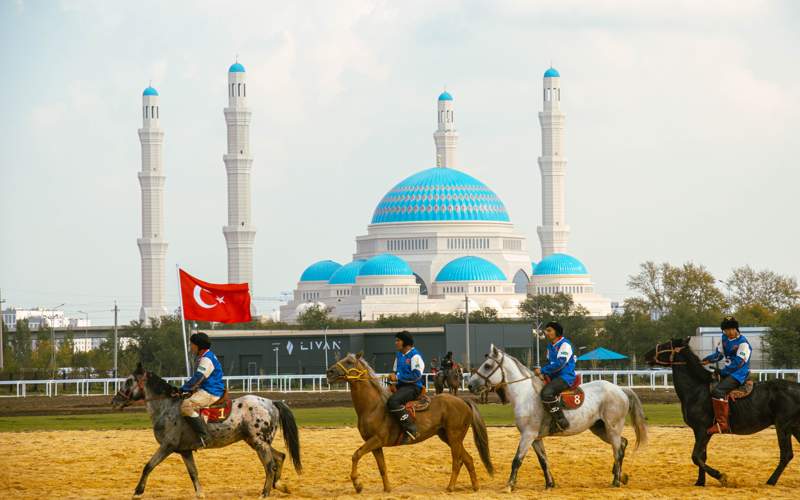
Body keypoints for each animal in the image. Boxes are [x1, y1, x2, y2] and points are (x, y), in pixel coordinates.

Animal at [111, 364, 302, 500]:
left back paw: (264, 493)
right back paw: (280, 486)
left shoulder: (167, 446)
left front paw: (138, 491)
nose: (114, 401)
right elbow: (193, 472)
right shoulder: (185, 451)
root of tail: (271, 402)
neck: (166, 407)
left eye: (129, 381)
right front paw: (200, 494)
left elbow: (148, 466)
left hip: (259, 443)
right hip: (256, 442)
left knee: (270, 465)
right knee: (280, 457)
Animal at [326, 352, 494, 492]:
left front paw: (357, 485)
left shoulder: (376, 440)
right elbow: (382, 467)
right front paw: (387, 489)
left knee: (457, 462)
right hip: (448, 437)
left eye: (349, 362)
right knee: (468, 459)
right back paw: (475, 487)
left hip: (454, 438)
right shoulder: (375, 445)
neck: (373, 407)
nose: (329, 372)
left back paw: (451, 487)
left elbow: (356, 455)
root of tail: (463, 401)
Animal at [466, 346, 648, 490]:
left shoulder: (528, 435)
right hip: (600, 429)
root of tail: (620, 389)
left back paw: (616, 480)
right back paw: (620, 476)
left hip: (612, 428)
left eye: (487, 366)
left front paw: (509, 485)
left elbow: (517, 460)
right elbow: (543, 461)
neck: (525, 394)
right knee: (623, 444)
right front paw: (549, 484)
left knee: (617, 450)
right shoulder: (535, 438)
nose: (470, 385)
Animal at [640, 338, 800, 486]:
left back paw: (771, 481)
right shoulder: (699, 431)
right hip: (793, 427)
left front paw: (720, 476)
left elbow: (696, 456)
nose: (646, 355)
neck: (697, 389)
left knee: (786, 455)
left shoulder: (703, 430)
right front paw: (700, 482)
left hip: (783, 426)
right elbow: (701, 457)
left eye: (667, 345)